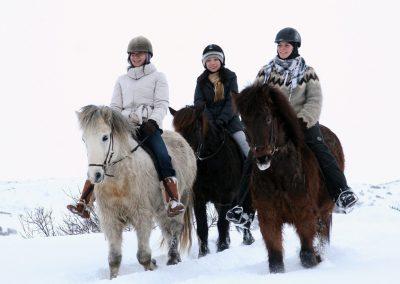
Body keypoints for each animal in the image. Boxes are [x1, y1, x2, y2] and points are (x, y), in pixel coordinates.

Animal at [77, 105, 197, 278]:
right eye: (84, 139)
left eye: (105, 137)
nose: (95, 175)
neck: (119, 182)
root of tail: (182, 140)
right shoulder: (110, 219)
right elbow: (114, 259)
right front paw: (113, 278)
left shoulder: (142, 215)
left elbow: (143, 256)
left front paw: (152, 266)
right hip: (161, 209)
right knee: (167, 230)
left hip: (182, 199)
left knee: (175, 229)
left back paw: (173, 259)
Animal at [233, 84, 342, 272]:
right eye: (244, 122)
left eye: (268, 118)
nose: (262, 158)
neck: (278, 175)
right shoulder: (268, 217)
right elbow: (275, 259)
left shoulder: (304, 214)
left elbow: (307, 255)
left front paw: (314, 259)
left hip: (325, 209)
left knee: (321, 233)